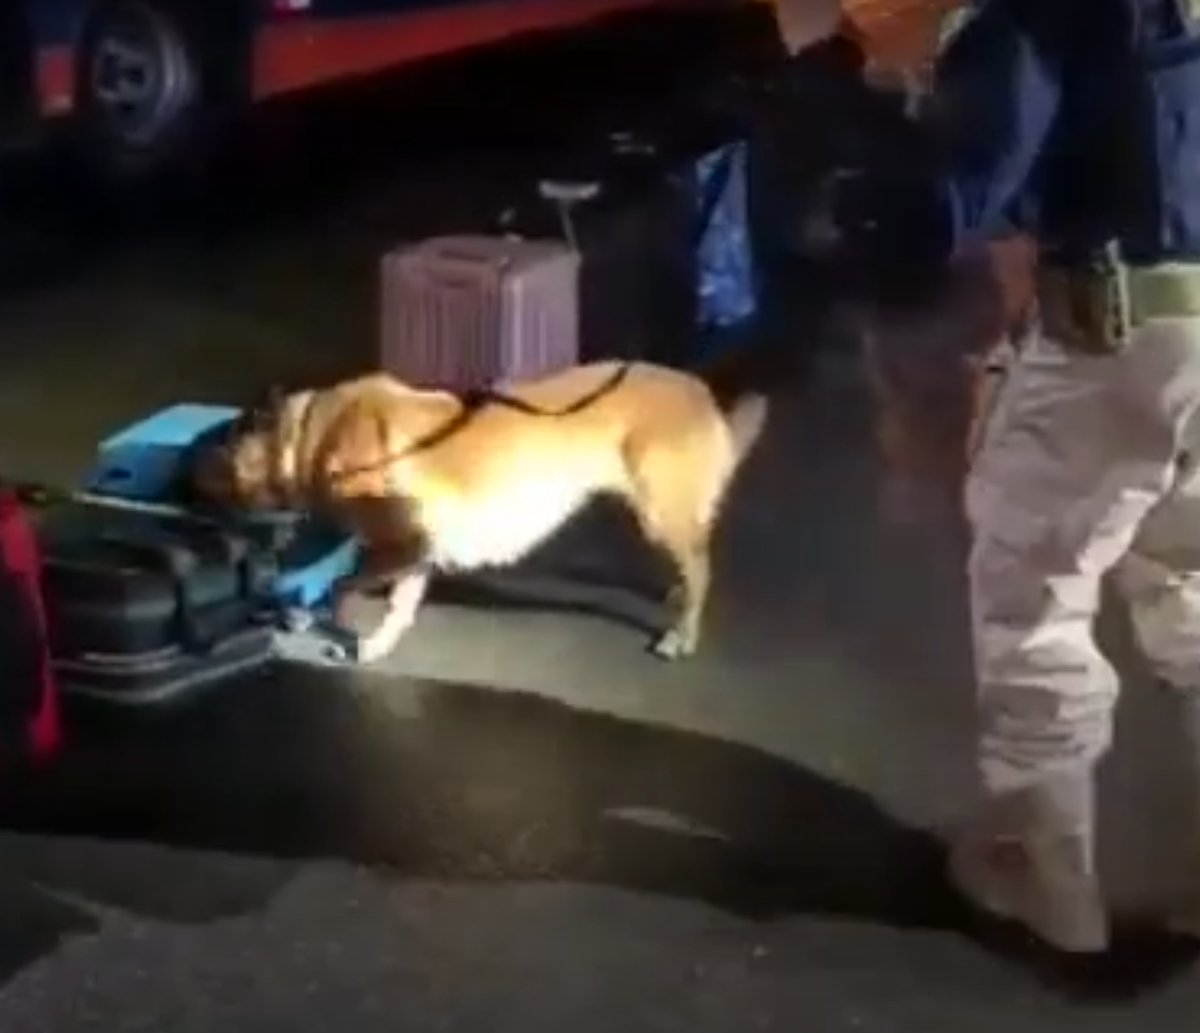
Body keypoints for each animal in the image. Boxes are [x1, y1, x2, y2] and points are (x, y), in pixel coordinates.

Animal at [192, 357, 763, 657]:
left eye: (213, 448)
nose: (181, 480)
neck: (309, 434)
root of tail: (705, 398)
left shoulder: (400, 544)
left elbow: (342, 584)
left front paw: (324, 617)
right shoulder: (416, 548)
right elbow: (399, 604)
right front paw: (376, 644)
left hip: (656, 512)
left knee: (702, 566)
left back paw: (682, 634)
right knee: (692, 556)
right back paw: (675, 594)